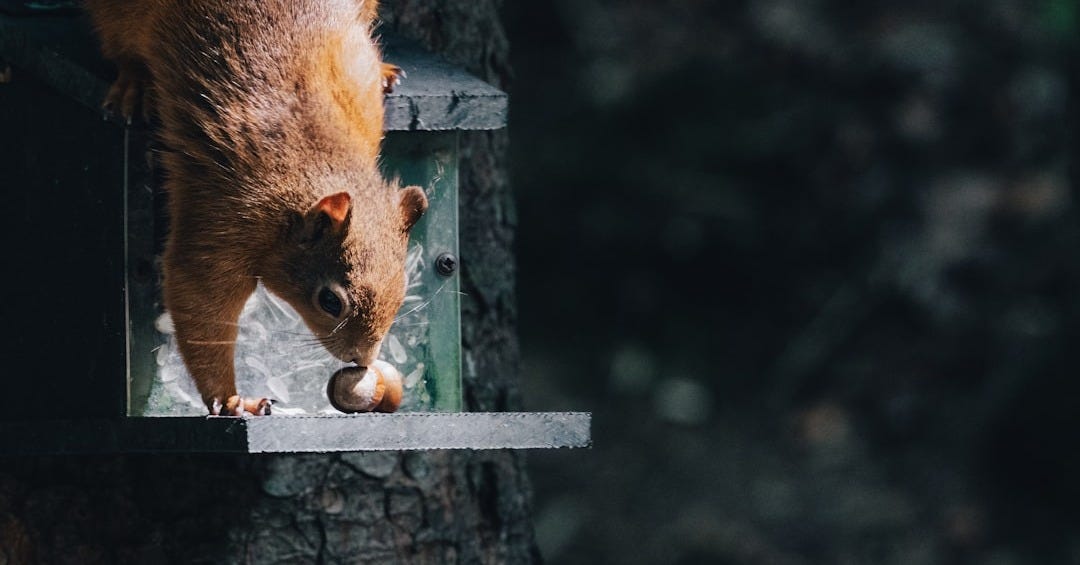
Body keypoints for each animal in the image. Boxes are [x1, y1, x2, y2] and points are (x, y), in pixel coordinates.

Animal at [83, 0, 428, 416]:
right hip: (122, 14)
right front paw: (231, 399)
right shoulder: (231, 212)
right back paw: (133, 83)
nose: (361, 359)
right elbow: (200, 294)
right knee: (120, 45)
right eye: (330, 301)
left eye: (402, 288)